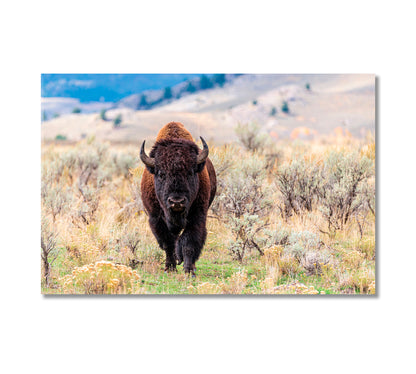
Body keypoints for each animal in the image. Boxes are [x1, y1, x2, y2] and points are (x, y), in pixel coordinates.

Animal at [141, 122, 218, 274]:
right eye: (161, 174)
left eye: (190, 172)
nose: (177, 202)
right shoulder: (156, 219)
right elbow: (168, 243)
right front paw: (170, 267)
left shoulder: (197, 216)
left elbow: (189, 242)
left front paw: (188, 270)